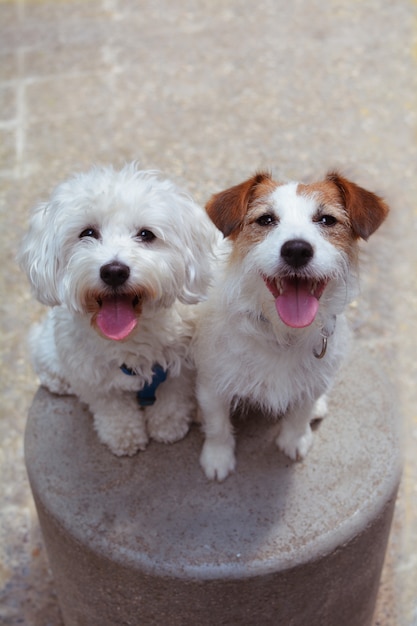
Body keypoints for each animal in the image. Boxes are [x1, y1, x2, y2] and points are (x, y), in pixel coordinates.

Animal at [18, 161, 216, 454]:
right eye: (87, 233)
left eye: (146, 234)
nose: (114, 271)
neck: (129, 341)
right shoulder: (94, 380)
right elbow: (114, 410)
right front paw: (124, 436)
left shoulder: (180, 368)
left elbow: (172, 400)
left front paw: (168, 427)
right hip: (50, 348)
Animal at [193, 169, 388, 478]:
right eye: (266, 219)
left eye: (327, 220)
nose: (296, 250)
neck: (282, 332)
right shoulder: (213, 383)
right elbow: (218, 425)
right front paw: (217, 457)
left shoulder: (310, 382)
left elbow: (300, 414)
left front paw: (294, 440)